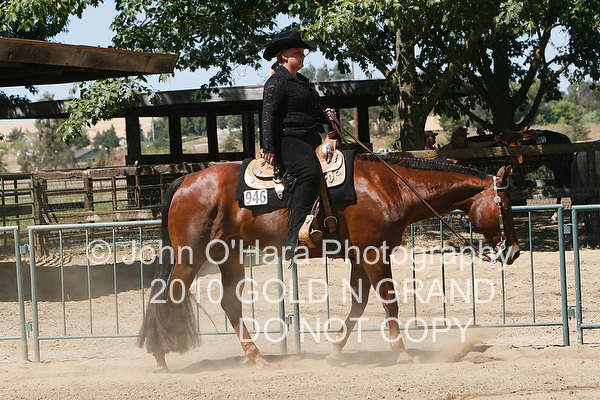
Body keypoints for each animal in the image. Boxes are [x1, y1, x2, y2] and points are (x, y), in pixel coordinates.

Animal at [137, 154, 520, 371]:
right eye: (504, 205)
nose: (514, 251)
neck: (389, 186)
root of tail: (185, 180)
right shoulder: (374, 253)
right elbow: (390, 303)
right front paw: (401, 354)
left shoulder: (360, 256)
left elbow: (358, 304)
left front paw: (335, 352)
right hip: (190, 256)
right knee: (167, 296)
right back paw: (159, 356)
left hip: (229, 255)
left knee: (230, 303)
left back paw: (257, 357)